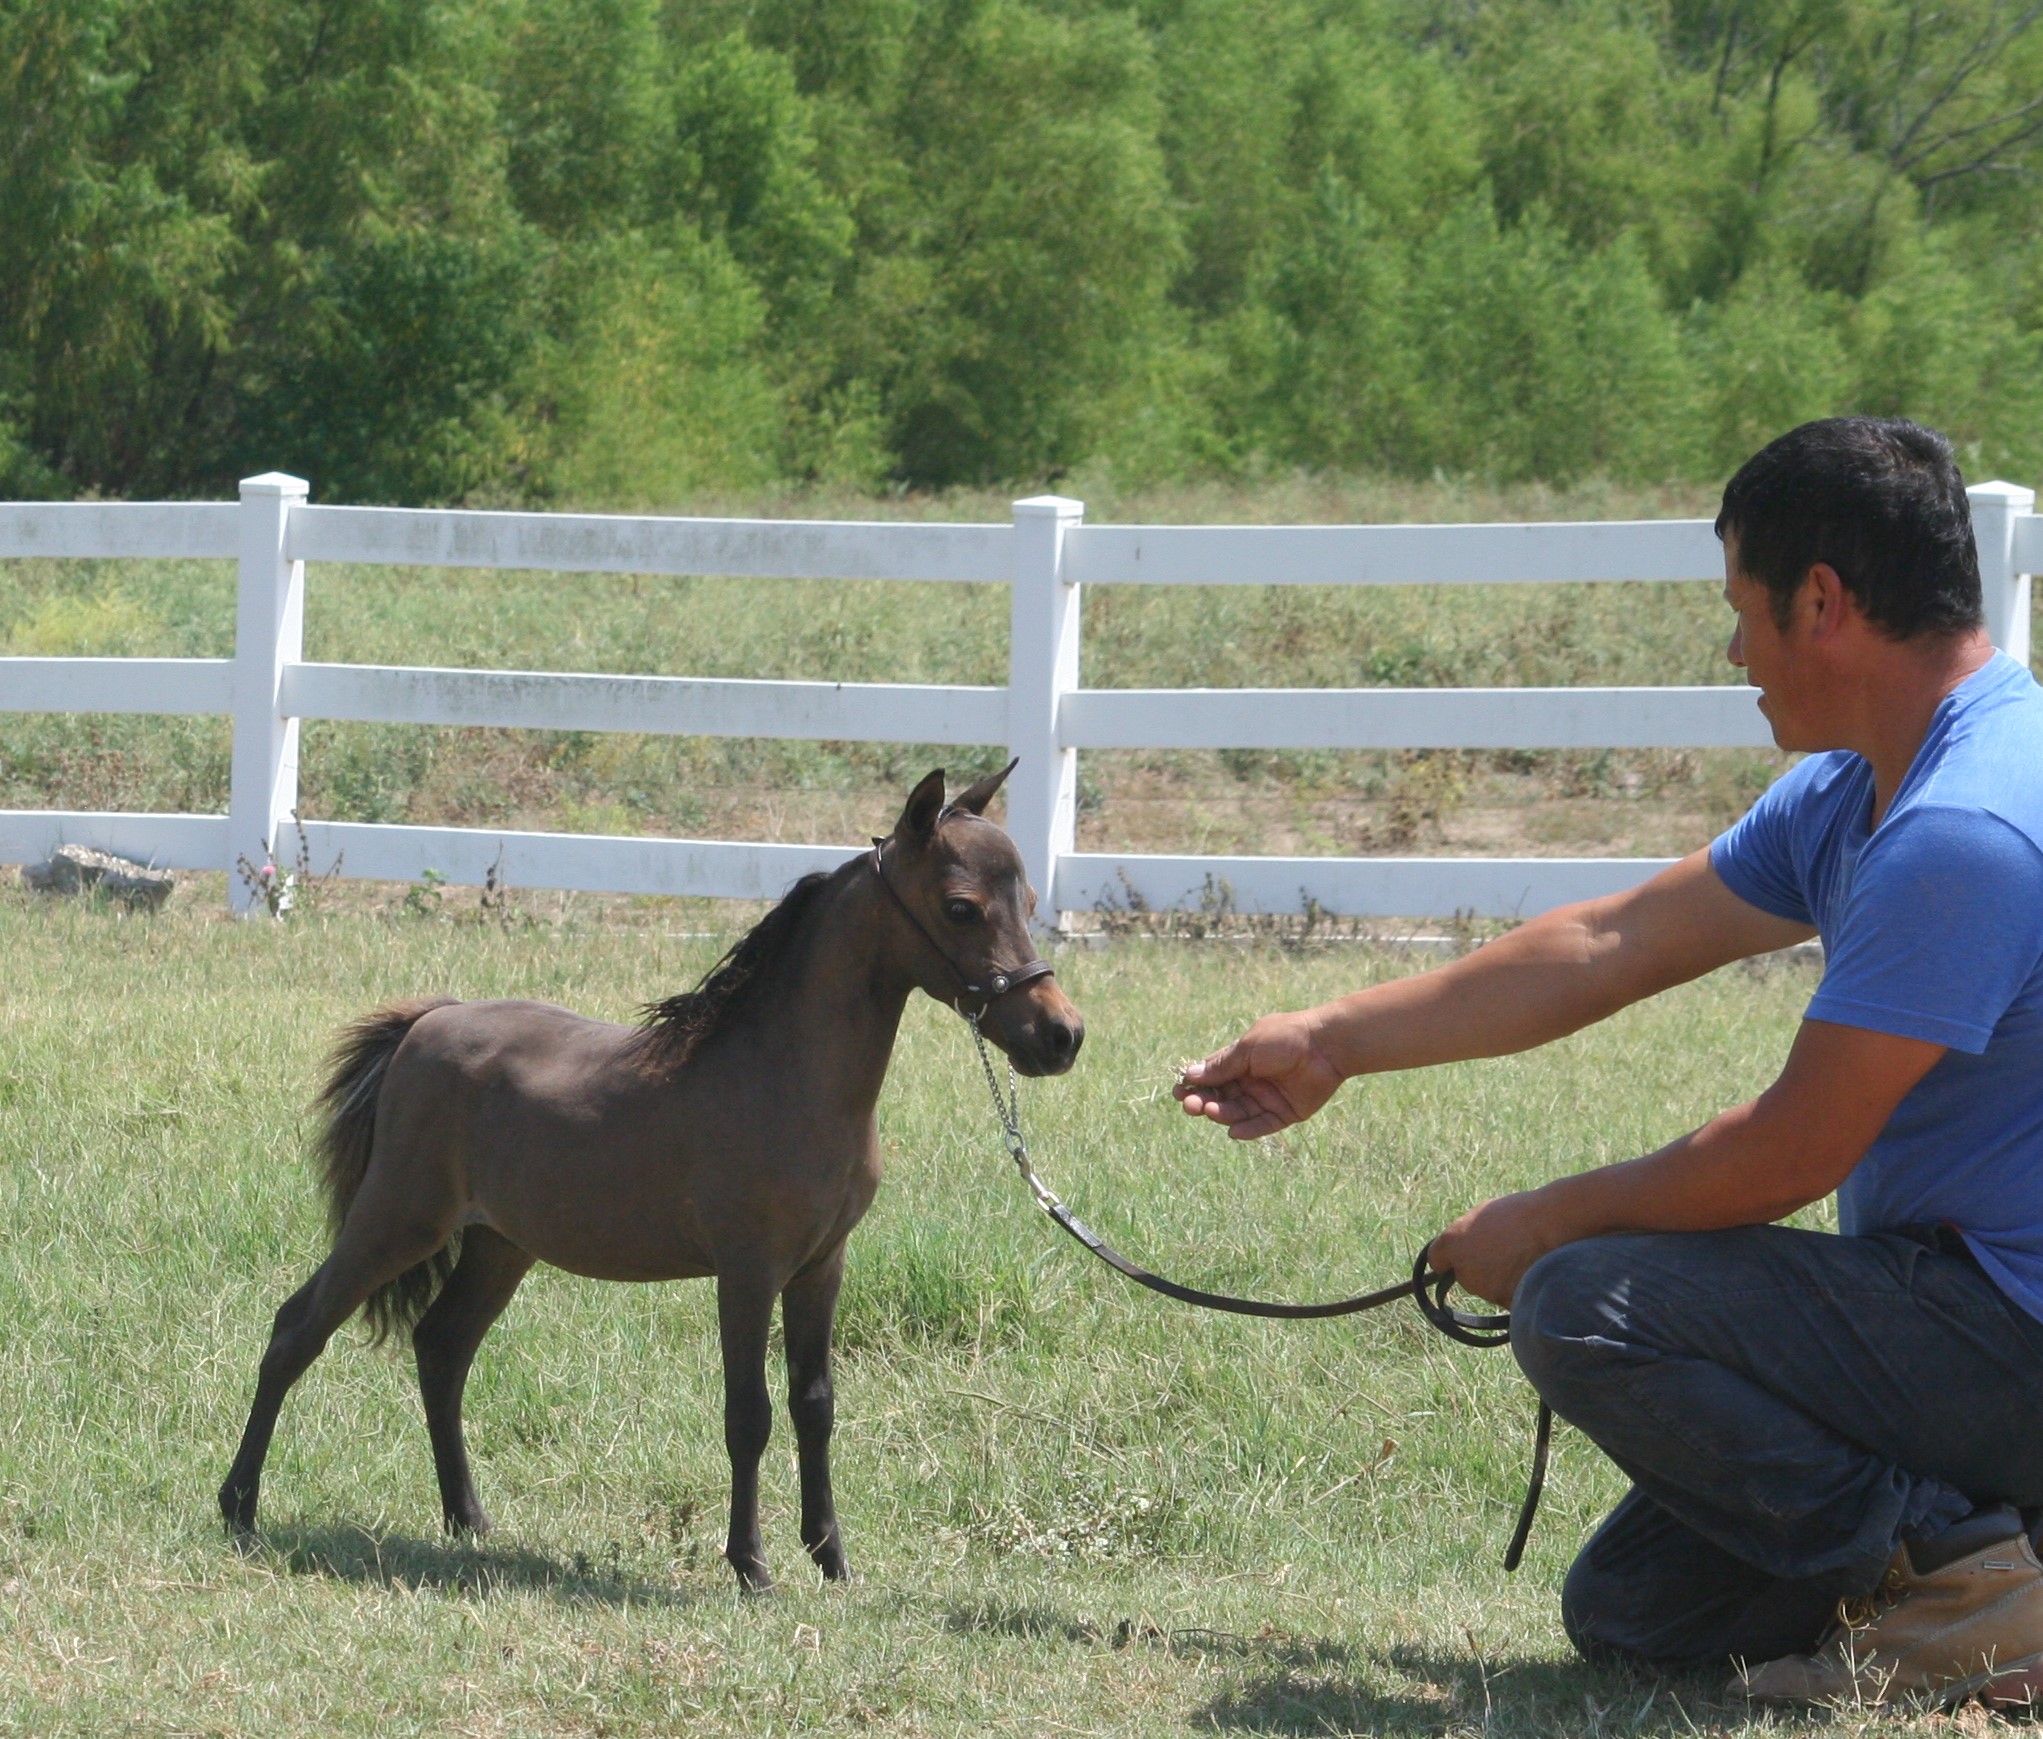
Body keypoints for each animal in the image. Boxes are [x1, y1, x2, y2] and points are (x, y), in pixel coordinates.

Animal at [218, 763, 1084, 1590]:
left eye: (1028, 899)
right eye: (962, 906)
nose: (1060, 1035)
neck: (782, 1076)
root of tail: (431, 1019)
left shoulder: (820, 1266)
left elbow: (814, 1405)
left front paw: (832, 1558)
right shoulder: (747, 1270)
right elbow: (749, 1413)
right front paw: (751, 1565)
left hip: (499, 1244)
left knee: (441, 1348)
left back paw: (468, 1519)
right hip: (398, 1219)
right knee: (296, 1330)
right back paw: (239, 1508)